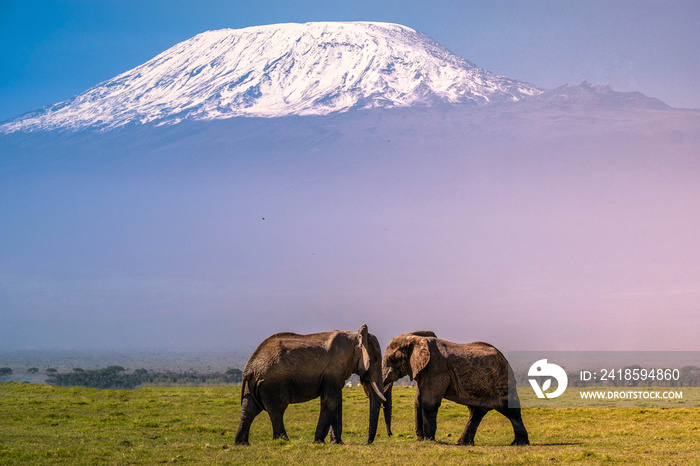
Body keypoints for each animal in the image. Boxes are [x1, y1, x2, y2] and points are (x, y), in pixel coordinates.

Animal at [234, 324, 386, 444]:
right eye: (375, 358)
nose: (367, 442)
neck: (355, 337)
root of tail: (249, 368)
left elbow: (336, 402)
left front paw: (337, 443)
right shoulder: (333, 371)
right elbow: (331, 401)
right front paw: (319, 442)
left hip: (254, 384)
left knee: (250, 409)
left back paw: (242, 444)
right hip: (273, 383)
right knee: (277, 410)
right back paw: (285, 441)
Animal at [382, 330, 532, 446]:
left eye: (393, 359)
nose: (390, 434)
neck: (415, 339)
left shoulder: (436, 368)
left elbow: (428, 402)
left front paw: (429, 440)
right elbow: (418, 401)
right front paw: (420, 440)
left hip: (502, 381)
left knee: (510, 410)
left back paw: (518, 443)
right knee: (476, 412)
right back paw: (462, 443)